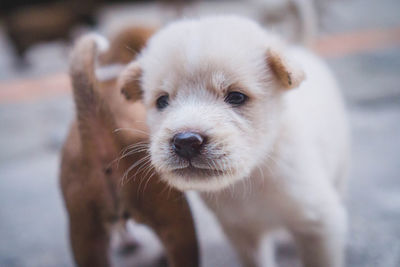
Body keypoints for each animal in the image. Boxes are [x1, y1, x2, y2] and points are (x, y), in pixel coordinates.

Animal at [120, 15, 348, 266]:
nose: (186, 142)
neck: (251, 177)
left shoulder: (320, 223)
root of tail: (300, 47)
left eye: (236, 97)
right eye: (162, 101)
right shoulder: (242, 234)